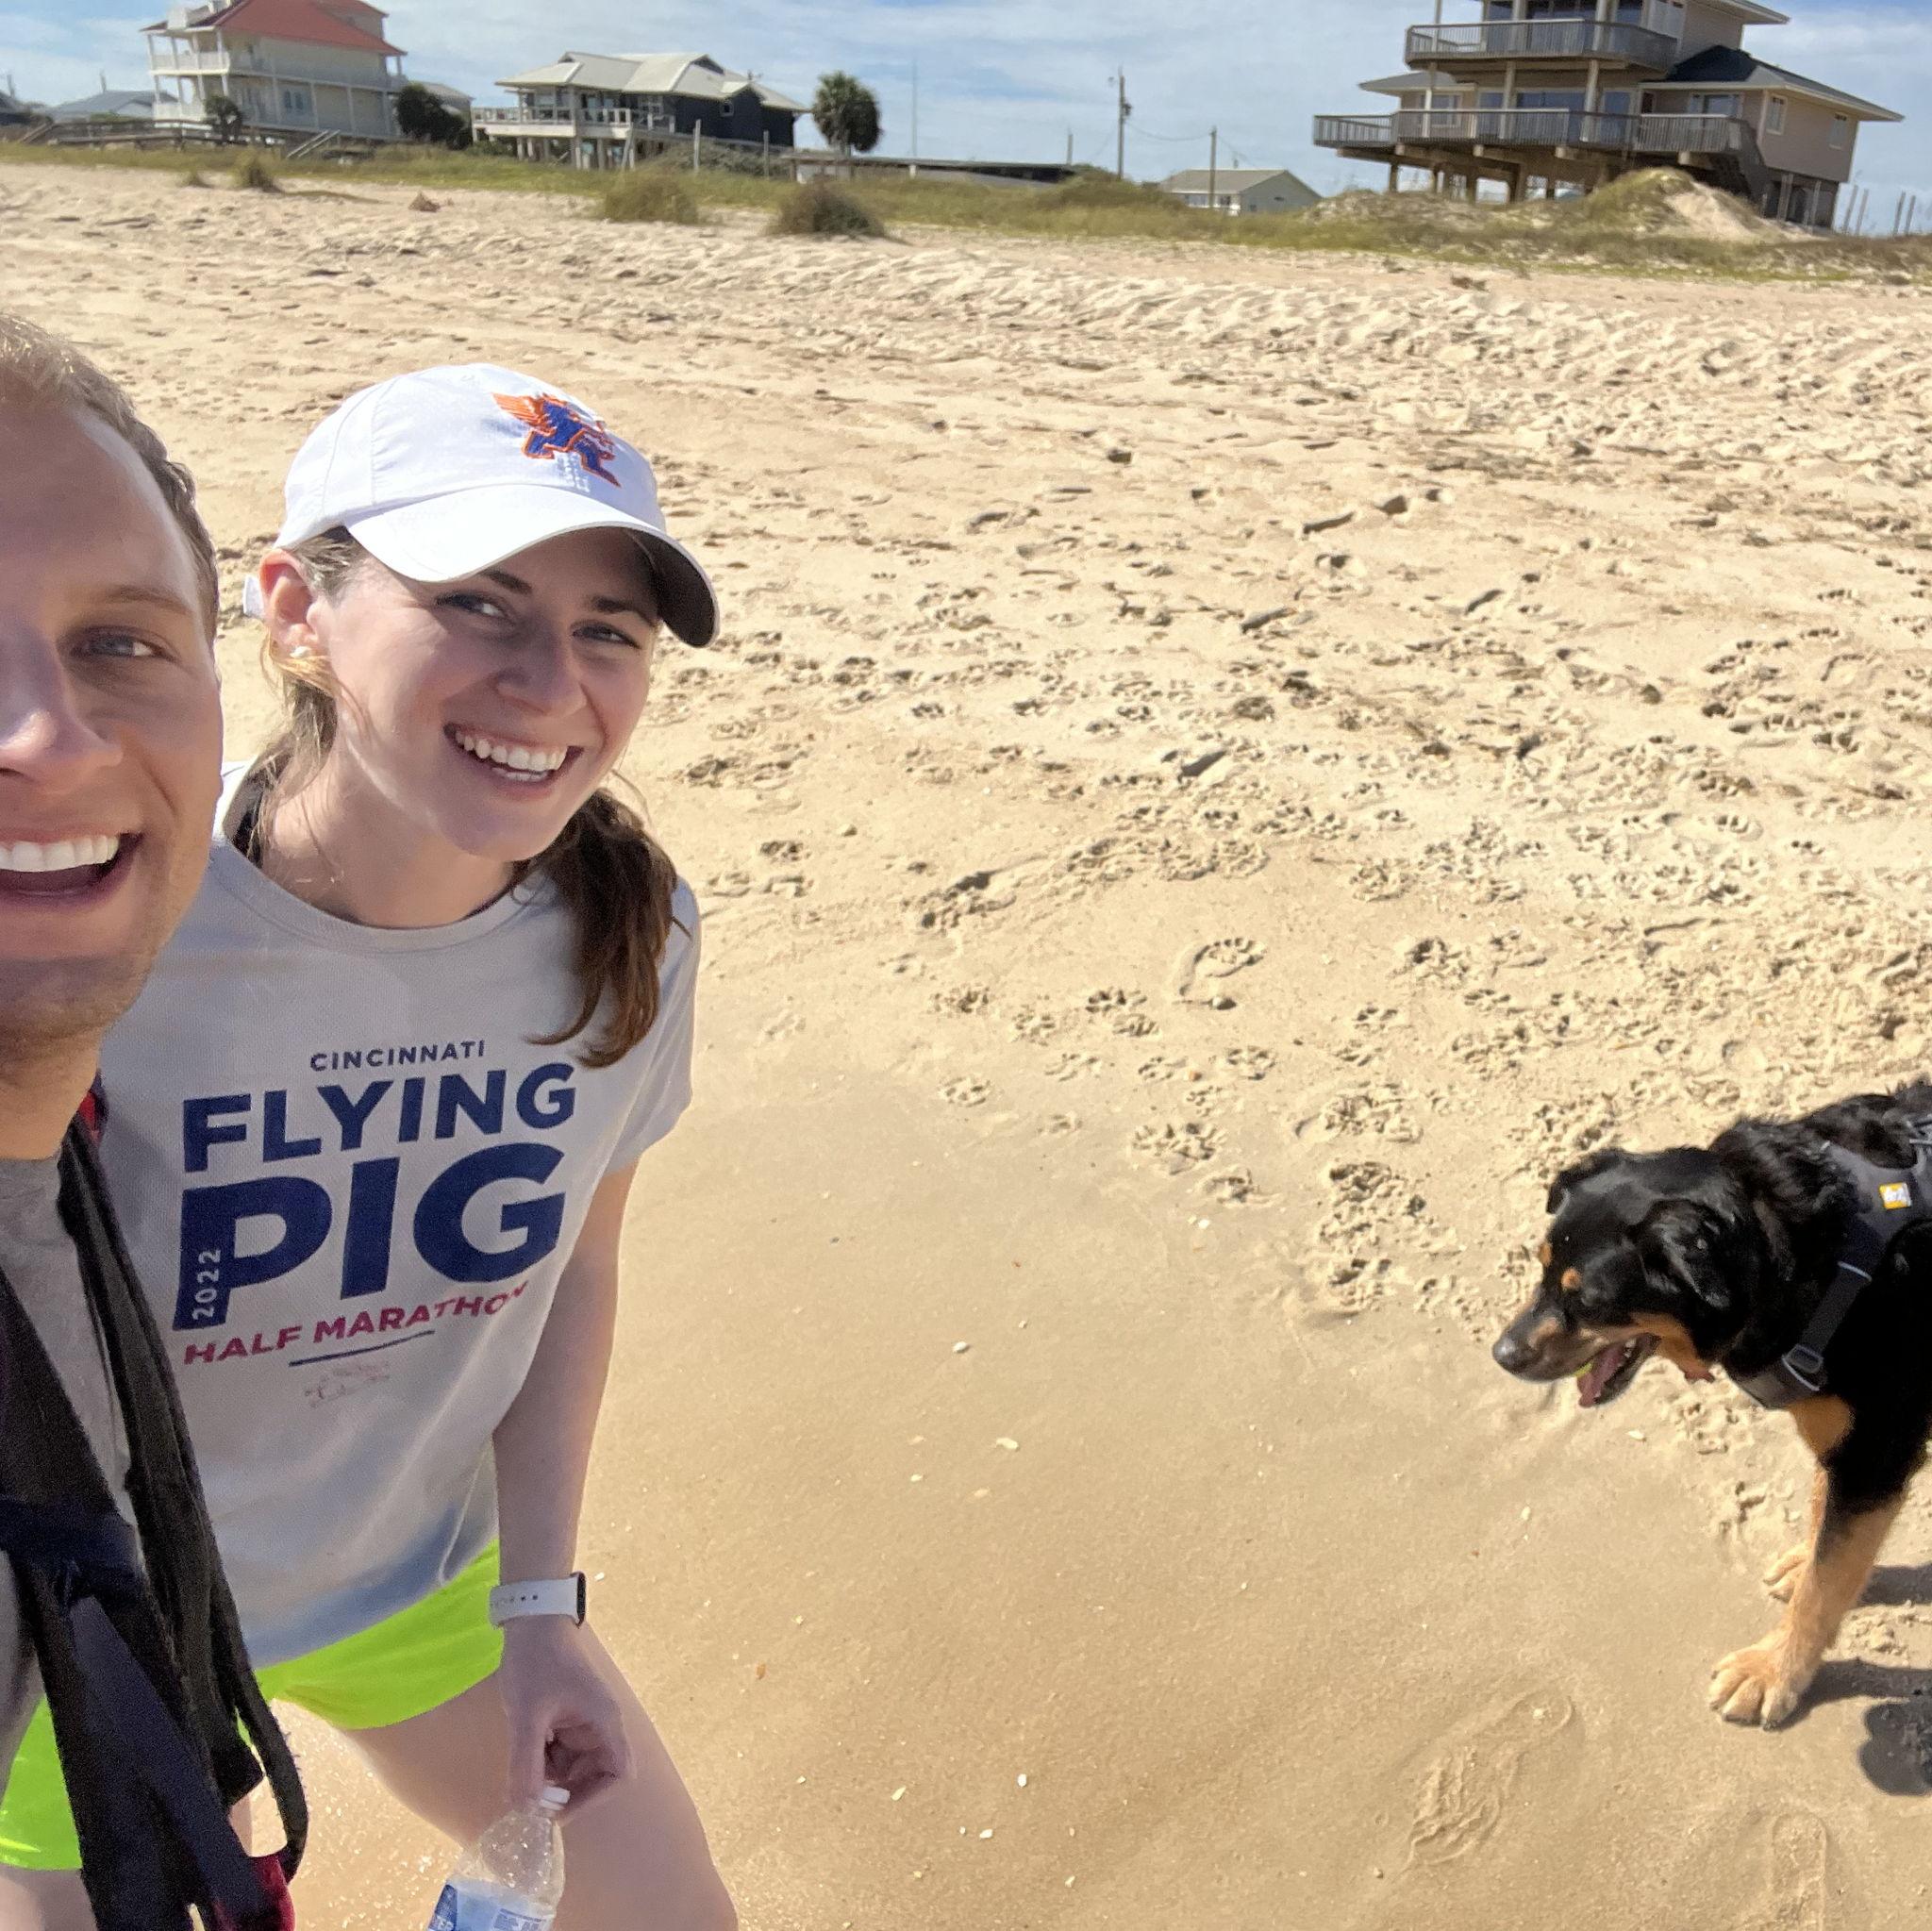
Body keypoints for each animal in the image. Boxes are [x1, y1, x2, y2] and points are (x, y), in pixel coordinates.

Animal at [1493, 1083, 1932, 1727]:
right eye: (1541, 1266)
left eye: (1589, 1300)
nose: (1501, 1354)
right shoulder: (1844, 1444)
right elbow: (1825, 1529)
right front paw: (1805, 1558)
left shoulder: (1873, 1452)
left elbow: (1824, 1588)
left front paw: (1771, 1670)